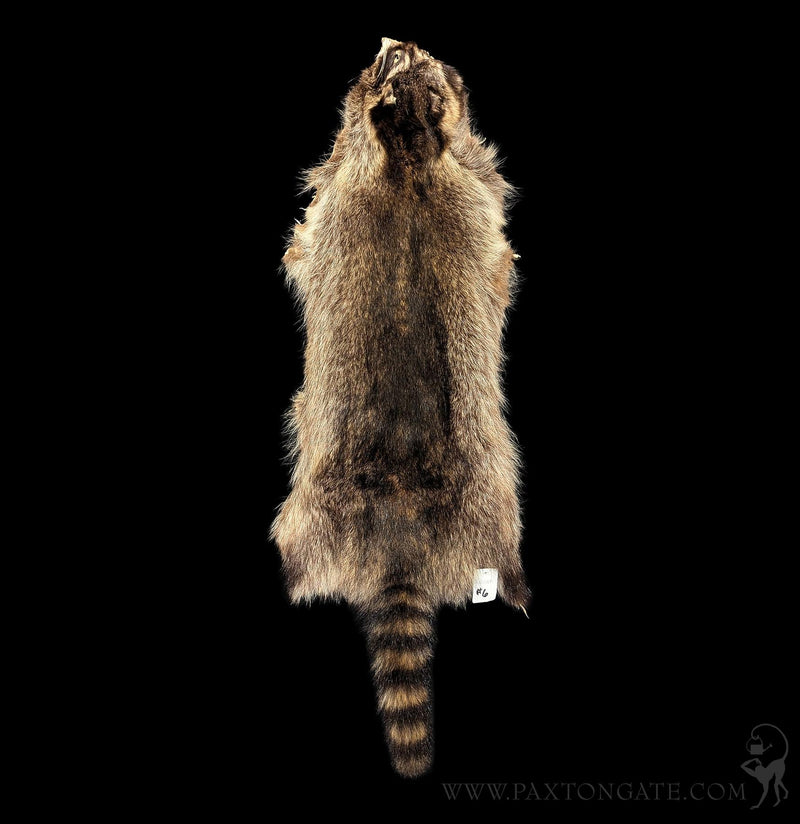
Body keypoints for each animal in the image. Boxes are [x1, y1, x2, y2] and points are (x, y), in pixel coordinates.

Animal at [271, 37, 530, 778]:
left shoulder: (360, 179)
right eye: (393, 61)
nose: (402, 39)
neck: (409, 147)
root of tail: (401, 531)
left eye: (414, 59)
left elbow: (302, 243)